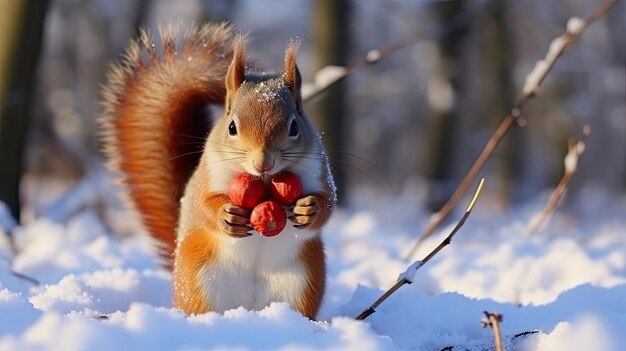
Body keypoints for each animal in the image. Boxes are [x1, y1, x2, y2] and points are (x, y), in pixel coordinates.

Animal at [101, 21, 336, 320]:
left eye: (294, 126)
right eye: (232, 127)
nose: (263, 162)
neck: (265, 180)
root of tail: (247, 307)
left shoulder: (319, 169)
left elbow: (328, 202)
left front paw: (309, 209)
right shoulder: (208, 173)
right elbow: (203, 203)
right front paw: (227, 215)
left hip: (302, 282)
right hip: (199, 280)